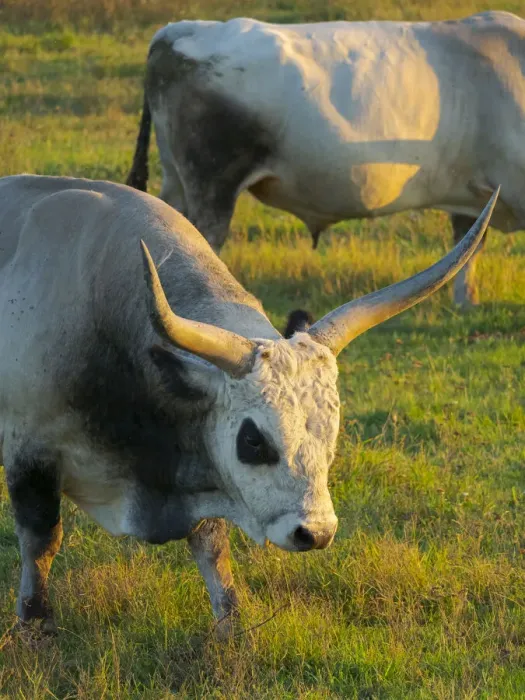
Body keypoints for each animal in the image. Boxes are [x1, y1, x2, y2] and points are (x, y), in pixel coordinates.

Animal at [0, 175, 497, 637]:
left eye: (332, 435)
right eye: (254, 440)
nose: (316, 533)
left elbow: (212, 544)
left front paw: (232, 624)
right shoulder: (30, 452)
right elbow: (41, 540)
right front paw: (35, 626)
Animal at [127, 11, 525, 308]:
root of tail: (180, 29)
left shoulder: (473, 193)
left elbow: (468, 246)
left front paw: (466, 302)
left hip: (177, 180)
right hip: (213, 184)